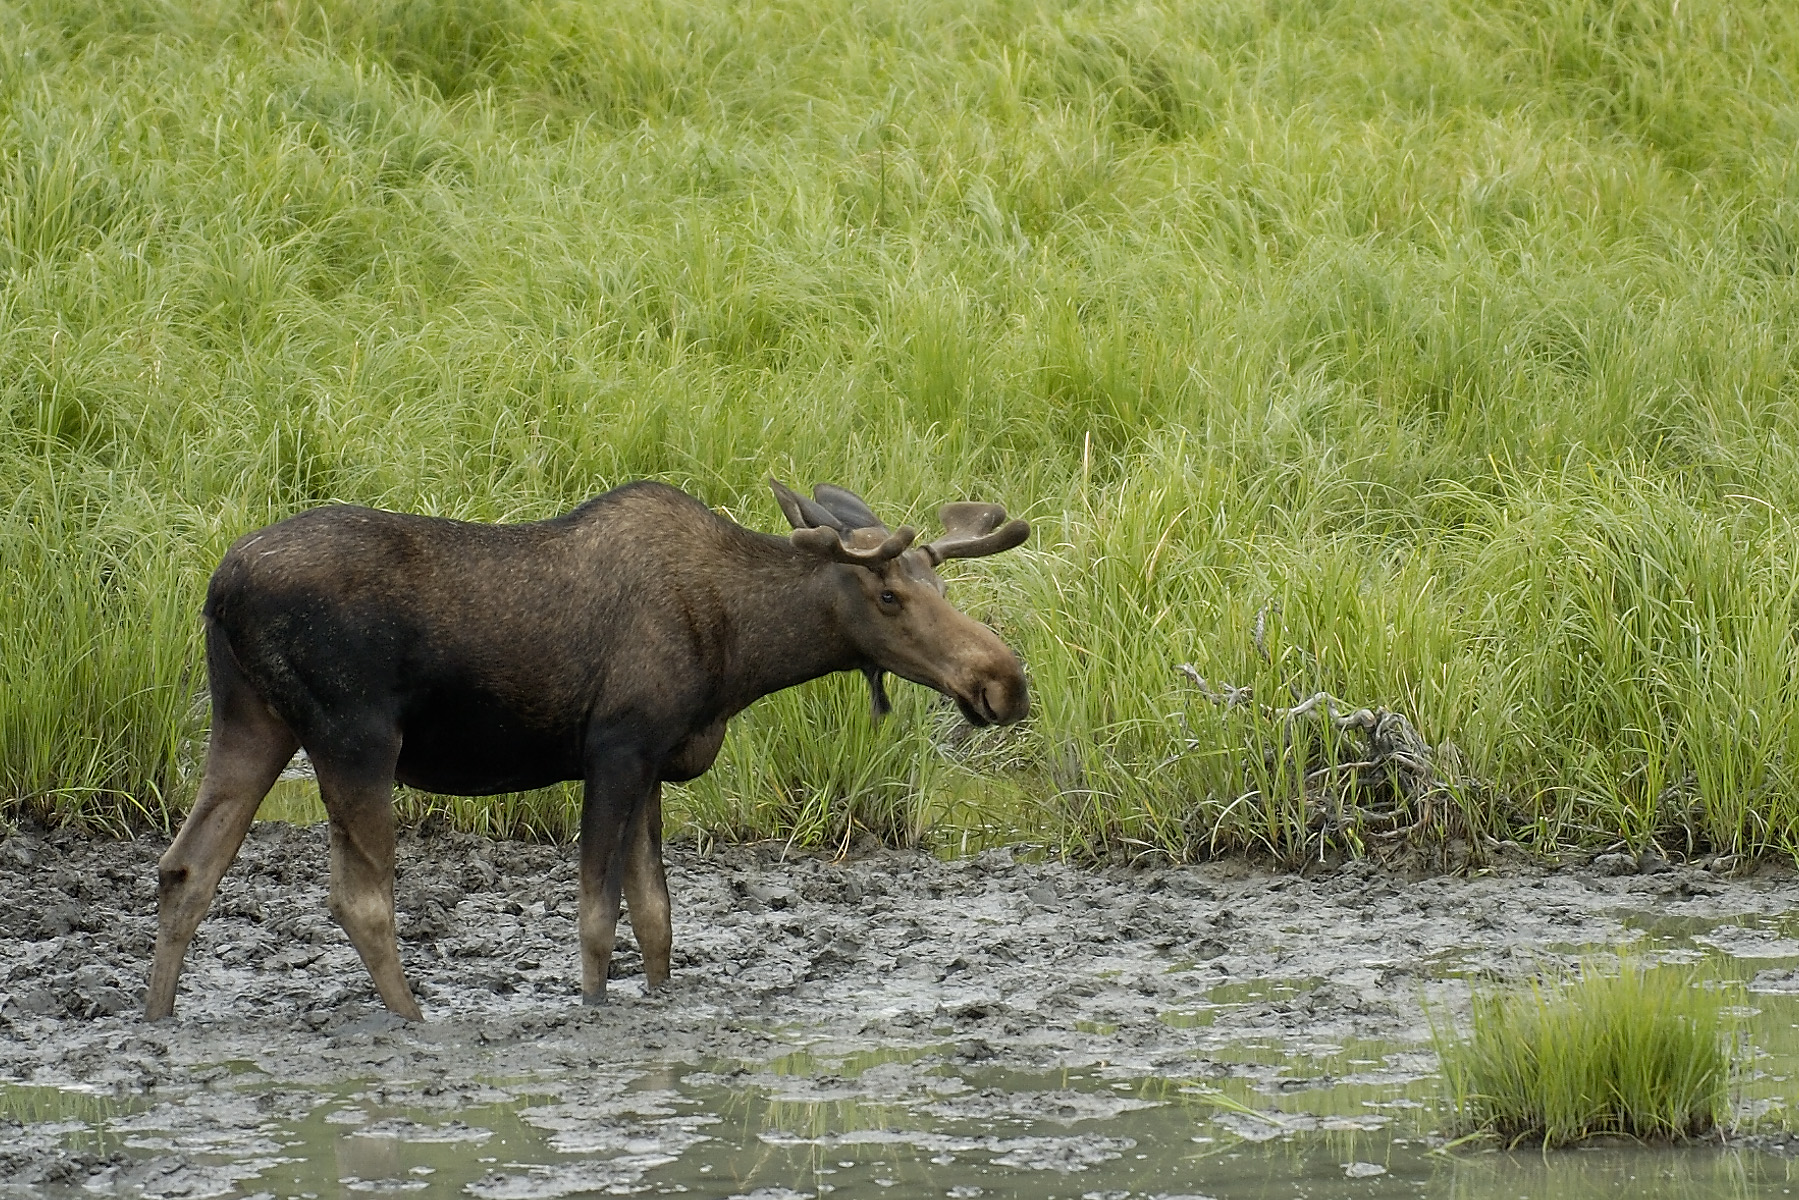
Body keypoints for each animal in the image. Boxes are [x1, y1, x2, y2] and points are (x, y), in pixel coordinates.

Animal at [143, 478, 1029, 1021]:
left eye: (938, 586)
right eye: (888, 595)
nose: (1004, 682)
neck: (740, 654)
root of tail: (218, 588)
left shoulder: (654, 764)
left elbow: (657, 917)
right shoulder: (616, 746)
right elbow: (598, 917)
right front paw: (593, 1008)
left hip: (252, 720)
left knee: (187, 867)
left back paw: (157, 1018)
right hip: (352, 735)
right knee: (359, 897)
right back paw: (417, 1019)